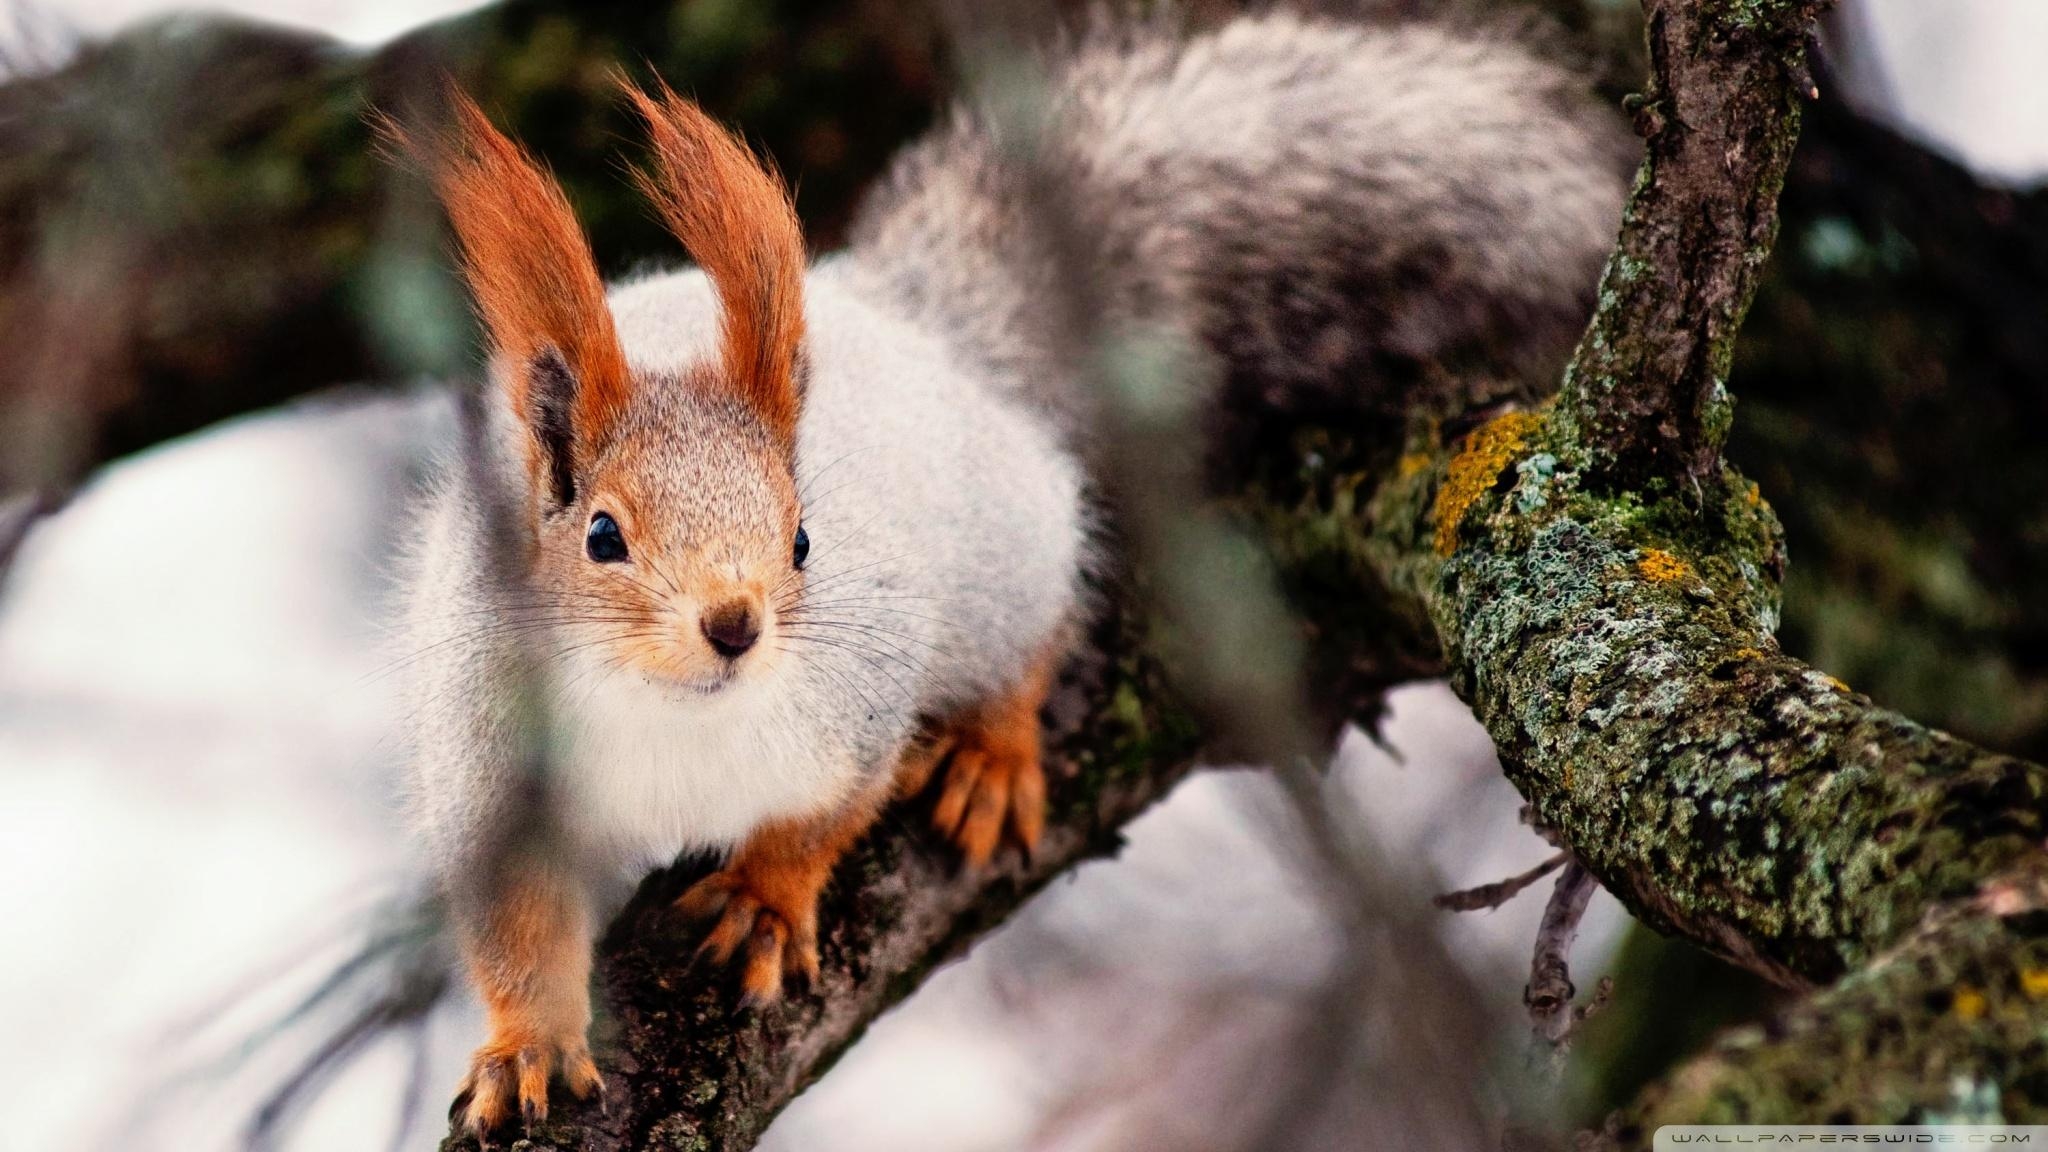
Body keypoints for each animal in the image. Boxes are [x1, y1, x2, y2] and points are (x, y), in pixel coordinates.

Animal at [387, 8, 1630, 1139]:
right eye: (601, 536)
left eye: (802, 539)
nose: (735, 626)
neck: (669, 714)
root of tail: (916, 325)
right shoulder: (491, 761)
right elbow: (516, 928)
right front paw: (526, 1046)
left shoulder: (856, 702)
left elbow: (823, 816)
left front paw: (765, 898)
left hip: (1003, 562)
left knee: (1032, 630)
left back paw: (990, 753)